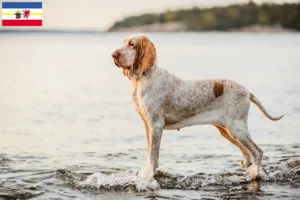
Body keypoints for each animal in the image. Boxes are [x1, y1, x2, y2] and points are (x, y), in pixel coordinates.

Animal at [110, 33, 284, 180]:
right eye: (124, 42)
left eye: (132, 44)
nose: (113, 54)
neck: (143, 79)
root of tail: (247, 92)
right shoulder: (147, 125)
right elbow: (149, 153)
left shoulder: (156, 125)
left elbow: (153, 157)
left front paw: (150, 177)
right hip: (227, 131)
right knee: (247, 154)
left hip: (237, 129)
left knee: (257, 152)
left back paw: (255, 175)